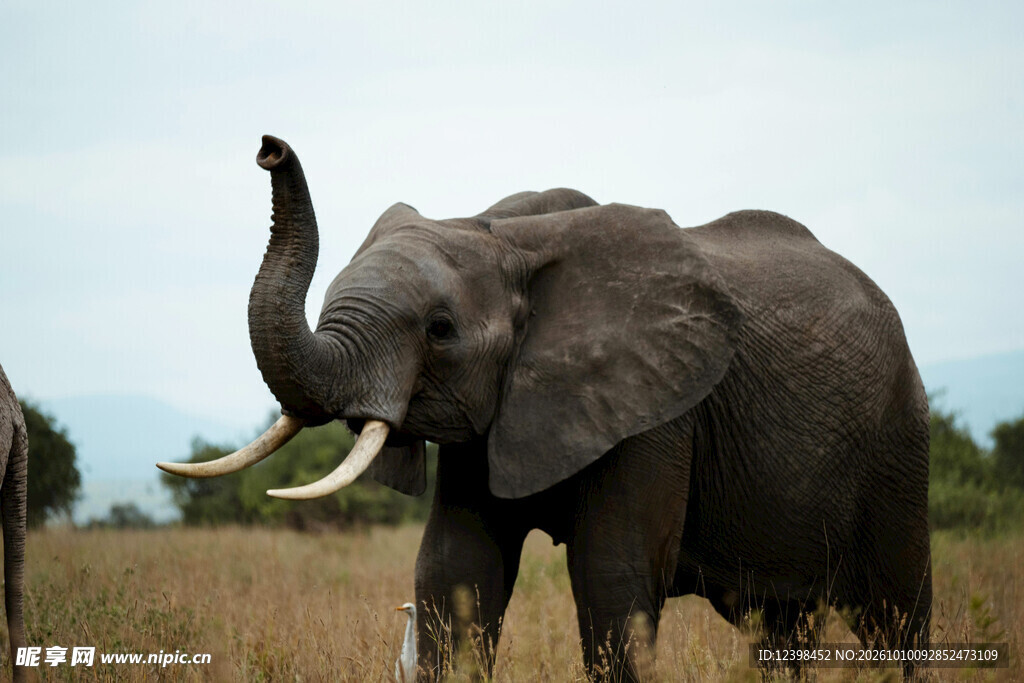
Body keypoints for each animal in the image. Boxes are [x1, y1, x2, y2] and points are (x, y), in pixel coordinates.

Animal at [161, 136, 931, 680]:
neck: (506, 235)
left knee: (897, 616)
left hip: (898, 440)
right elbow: (456, 570)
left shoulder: (657, 411)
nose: (268, 146)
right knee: (784, 629)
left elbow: (612, 580)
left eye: (440, 330)